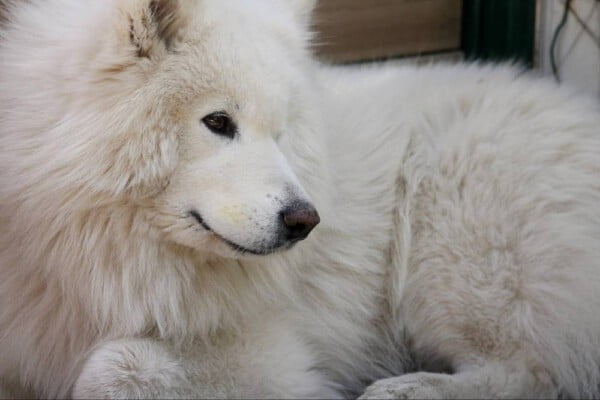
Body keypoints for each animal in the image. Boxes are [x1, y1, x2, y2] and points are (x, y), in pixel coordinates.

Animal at [1, 0, 600, 398]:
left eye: (280, 132)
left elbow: (110, 364)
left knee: (531, 371)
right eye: (218, 122)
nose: (305, 221)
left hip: (453, 251)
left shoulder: (275, 356)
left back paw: (404, 389)